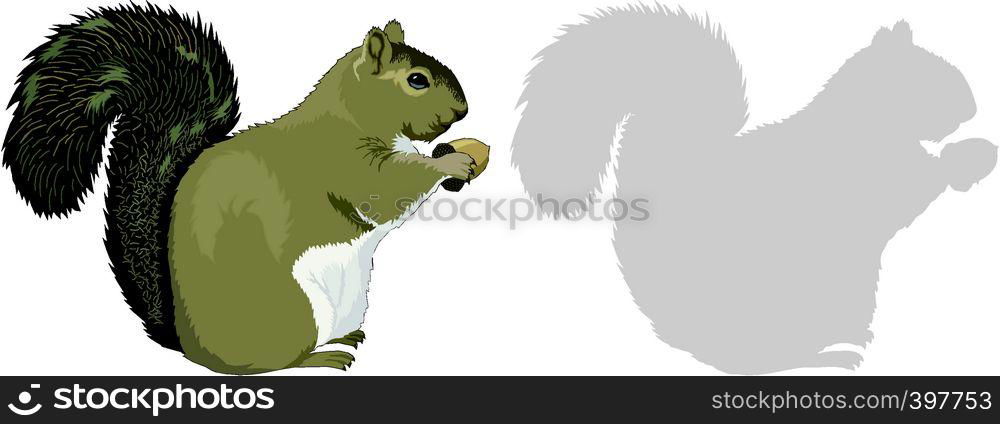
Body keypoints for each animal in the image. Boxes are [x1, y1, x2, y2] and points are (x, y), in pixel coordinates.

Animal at [2, 4, 477, 374]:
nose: (463, 110)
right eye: (417, 80)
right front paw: (450, 162)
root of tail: (189, 348)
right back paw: (319, 358)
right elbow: (383, 192)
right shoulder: (340, 162)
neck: (351, 112)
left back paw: (345, 338)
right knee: (270, 364)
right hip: (289, 312)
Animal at [513, 6, 996, 373]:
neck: (866, 120)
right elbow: (918, 185)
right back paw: (828, 356)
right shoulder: (872, 177)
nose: (973, 107)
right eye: (930, 77)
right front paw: (974, 155)